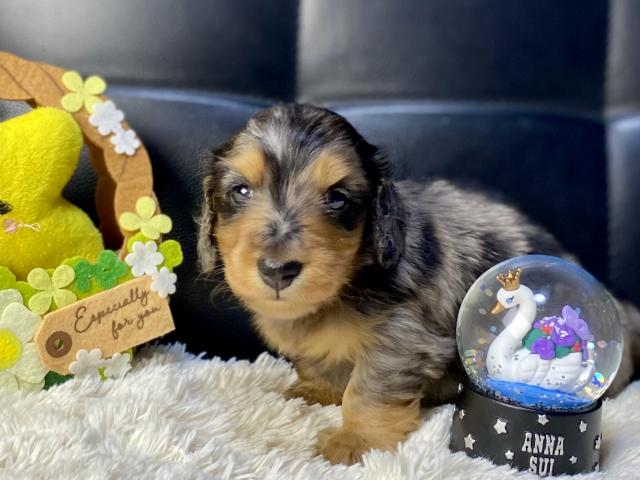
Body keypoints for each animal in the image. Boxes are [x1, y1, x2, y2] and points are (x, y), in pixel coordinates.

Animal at [197, 104, 638, 465]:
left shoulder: (405, 338)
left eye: (338, 198)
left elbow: (368, 388)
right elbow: (321, 362)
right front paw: (315, 389)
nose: (277, 270)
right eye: (240, 191)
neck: (350, 281)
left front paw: (356, 439)